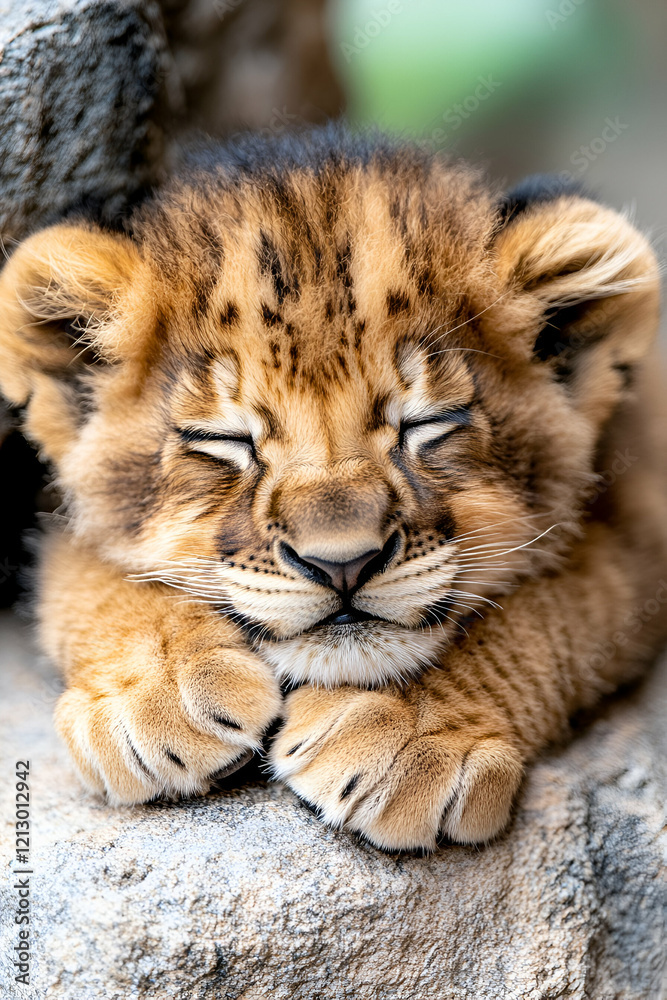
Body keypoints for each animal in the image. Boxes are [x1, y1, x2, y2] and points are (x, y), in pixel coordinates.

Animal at [1, 125, 665, 851]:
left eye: (423, 425)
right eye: (225, 440)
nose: (341, 563)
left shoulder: (638, 513)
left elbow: (556, 605)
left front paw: (409, 734)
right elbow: (84, 571)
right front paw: (153, 691)